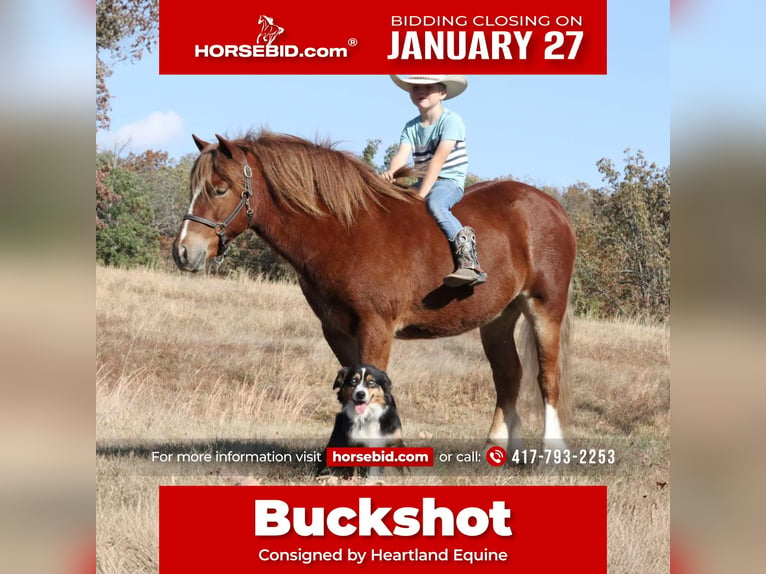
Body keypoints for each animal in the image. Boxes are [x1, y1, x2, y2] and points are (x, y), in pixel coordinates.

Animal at [172, 133, 576, 452]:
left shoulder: (376, 327)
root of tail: (552, 207)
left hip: (544, 307)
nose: (183, 252)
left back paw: (551, 452)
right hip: (498, 317)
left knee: (547, 377)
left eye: (219, 189)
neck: (346, 229)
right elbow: (351, 392)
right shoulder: (337, 330)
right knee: (508, 377)